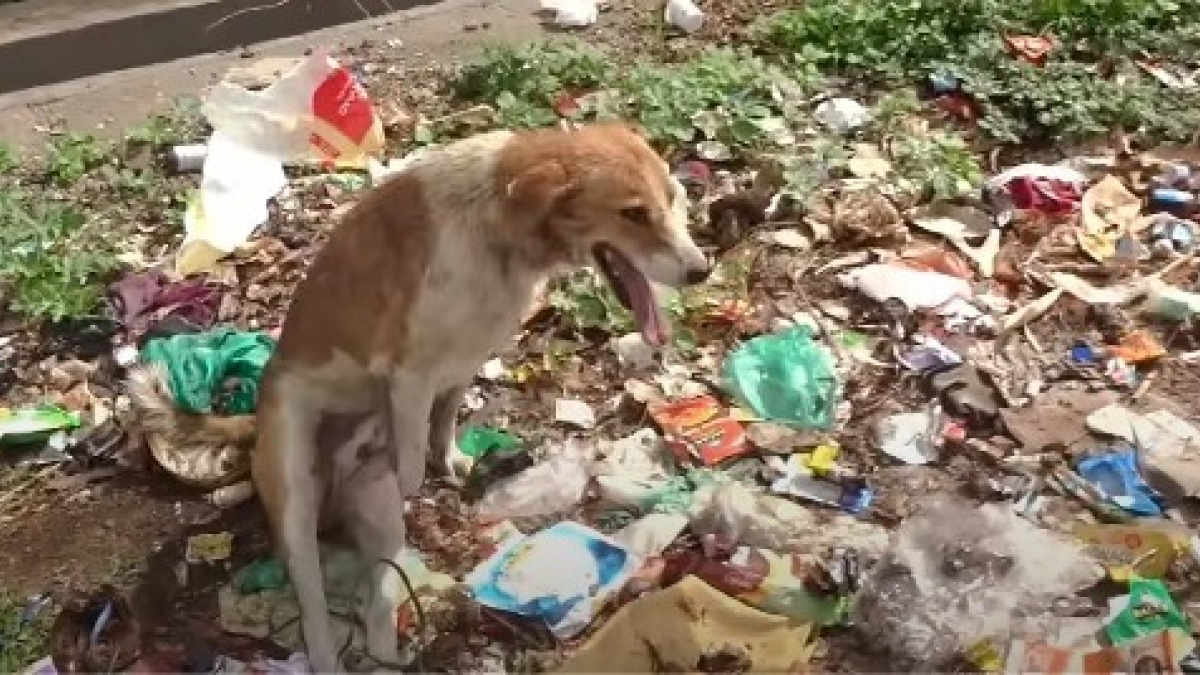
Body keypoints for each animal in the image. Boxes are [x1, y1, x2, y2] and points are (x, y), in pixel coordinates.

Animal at [246, 121, 710, 667]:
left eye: (673, 197)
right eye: (633, 213)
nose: (702, 271)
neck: (496, 227)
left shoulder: (463, 363)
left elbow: (443, 423)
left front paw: (453, 463)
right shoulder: (408, 375)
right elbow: (411, 466)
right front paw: (425, 478)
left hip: (377, 523)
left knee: (375, 603)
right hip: (293, 482)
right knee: (314, 607)